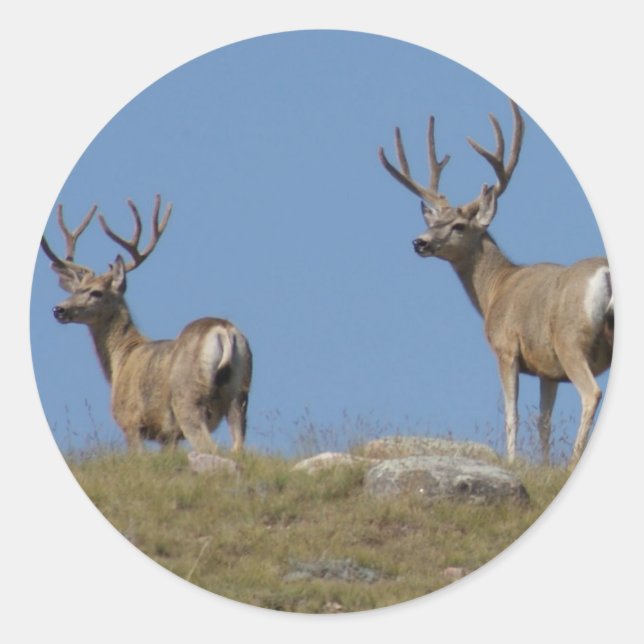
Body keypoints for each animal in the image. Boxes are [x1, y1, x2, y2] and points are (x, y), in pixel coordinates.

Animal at [40, 194, 252, 455]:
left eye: (96, 292)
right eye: (76, 289)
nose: (59, 309)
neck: (121, 358)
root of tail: (222, 330)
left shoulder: (130, 420)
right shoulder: (167, 436)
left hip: (188, 398)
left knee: (209, 445)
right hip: (240, 394)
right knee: (239, 446)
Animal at [378, 100, 613, 468]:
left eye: (458, 225)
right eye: (433, 221)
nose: (419, 242)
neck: (495, 289)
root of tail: (603, 274)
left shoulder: (506, 347)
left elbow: (511, 414)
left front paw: (513, 461)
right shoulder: (547, 368)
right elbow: (543, 420)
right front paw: (544, 465)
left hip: (570, 339)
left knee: (591, 393)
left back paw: (576, 458)